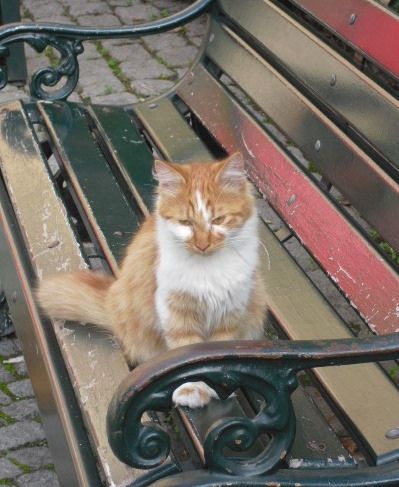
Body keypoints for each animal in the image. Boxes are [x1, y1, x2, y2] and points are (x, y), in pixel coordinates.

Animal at [37, 152, 268, 408]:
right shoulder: (176, 309)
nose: (202, 244)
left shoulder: (231, 310)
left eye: (218, 220)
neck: (208, 267)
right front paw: (193, 390)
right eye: (186, 223)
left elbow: (216, 353)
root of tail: (112, 302)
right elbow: (188, 353)